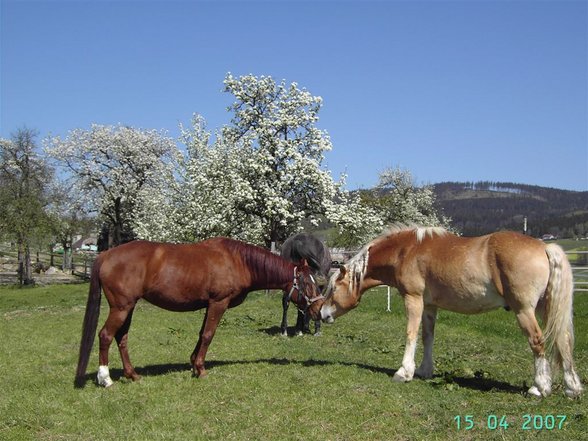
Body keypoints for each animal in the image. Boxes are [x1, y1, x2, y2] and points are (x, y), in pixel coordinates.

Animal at [74, 237, 322, 384]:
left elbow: (201, 334)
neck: (237, 261)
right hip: (121, 308)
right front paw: (200, 369)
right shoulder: (218, 303)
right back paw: (105, 378)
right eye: (307, 284)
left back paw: (132, 374)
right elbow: (208, 335)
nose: (319, 309)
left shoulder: (208, 304)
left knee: (121, 337)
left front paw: (193, 363)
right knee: (106, 335)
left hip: (128, 307)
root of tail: (105, 254)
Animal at [310, 225, 584, 398]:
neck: (406, 251)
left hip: (524, 311)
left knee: (538, 342)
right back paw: (572, 388)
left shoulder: (413, 300)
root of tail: (544, 247)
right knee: (563, 341)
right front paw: (423, 370)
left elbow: (410, 334)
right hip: (547, 307)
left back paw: (539, 388)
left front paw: (404, 372)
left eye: (333, 288)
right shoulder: (430, 306)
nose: (321, 314)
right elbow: (427, 337)